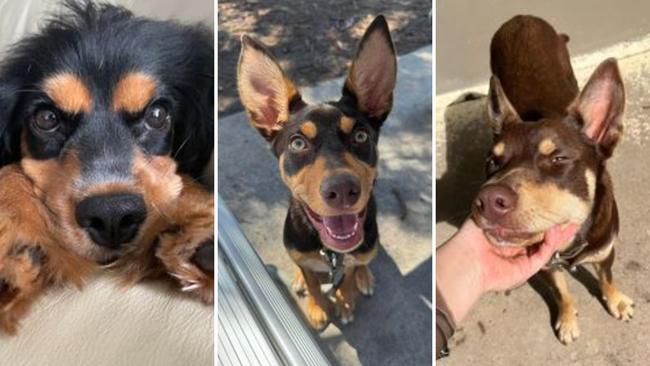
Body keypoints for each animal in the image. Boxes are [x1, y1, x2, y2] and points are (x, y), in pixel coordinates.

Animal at [234, 15, 394, 328]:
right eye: (298, 143)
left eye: (360, 136)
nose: (342, 190)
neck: (331, 254)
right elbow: (312, 284)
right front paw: (318, 309)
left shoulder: (352, 256)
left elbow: (347, 279)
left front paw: (344, 303)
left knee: (365, 260)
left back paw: (365, 277)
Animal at [470, 15, 632, 346]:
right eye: (492, 162)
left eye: (558, 159)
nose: (487, 201)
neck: (569, 245)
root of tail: (521, 18)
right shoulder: (546, 265)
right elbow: (562, 291)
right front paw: (568, 318)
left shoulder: (605, 251)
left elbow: (607, 278)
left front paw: (616, 300)